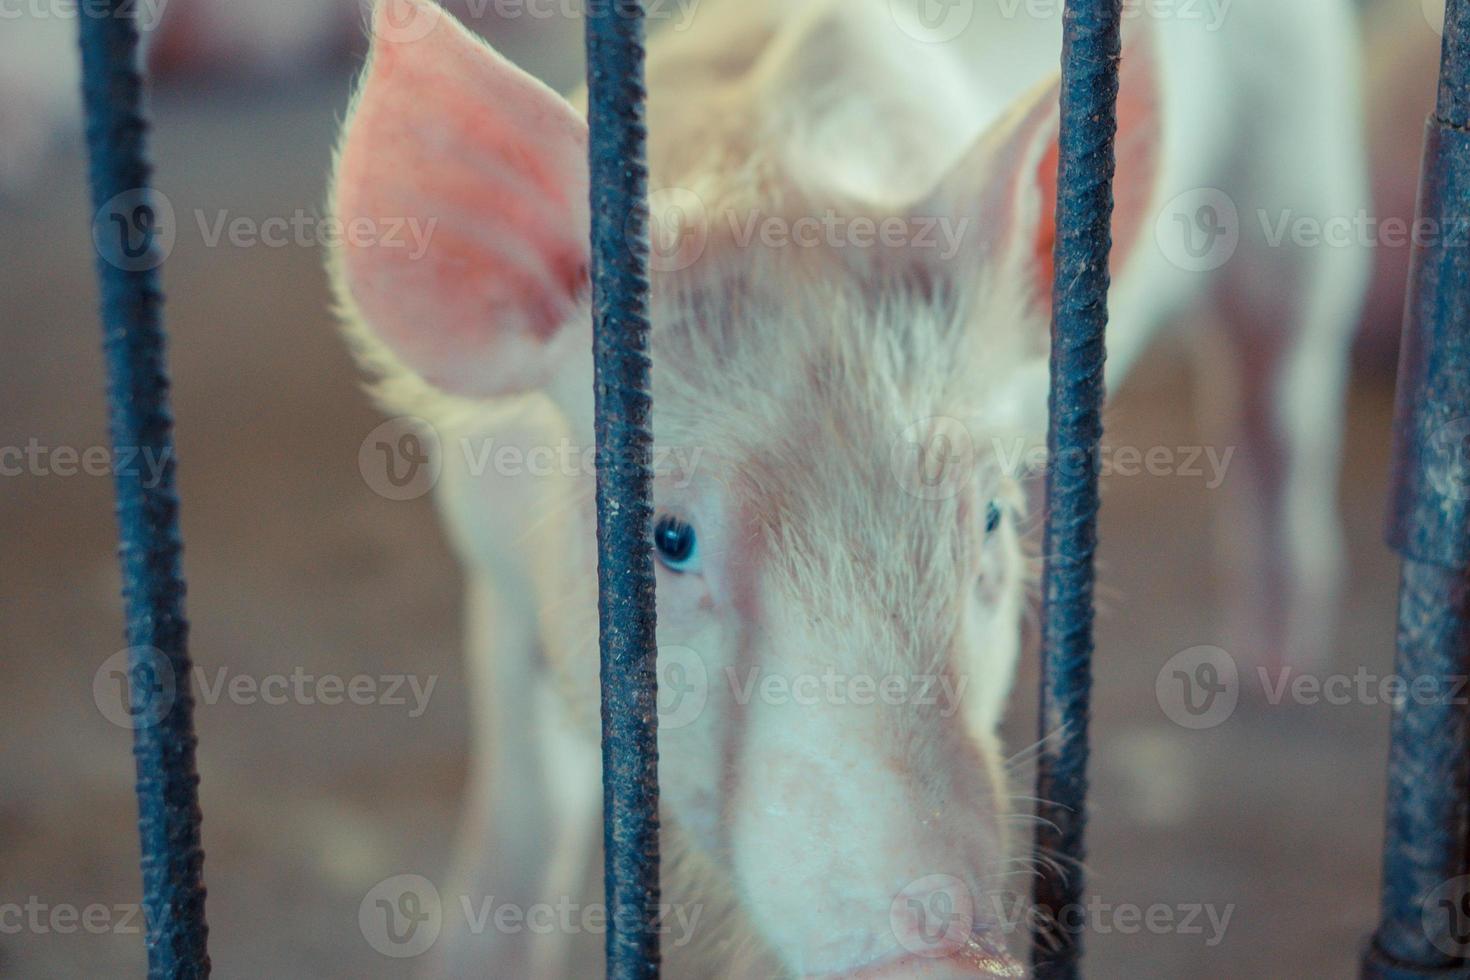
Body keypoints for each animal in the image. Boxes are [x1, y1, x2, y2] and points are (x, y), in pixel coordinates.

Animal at [0, 0, 1446, 975]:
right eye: (667, 537)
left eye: (989, 515)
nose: (946, 950)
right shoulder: (495, 575)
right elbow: (522, 813)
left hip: (1294, 194)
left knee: (1279, 400)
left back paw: (1264, 670)